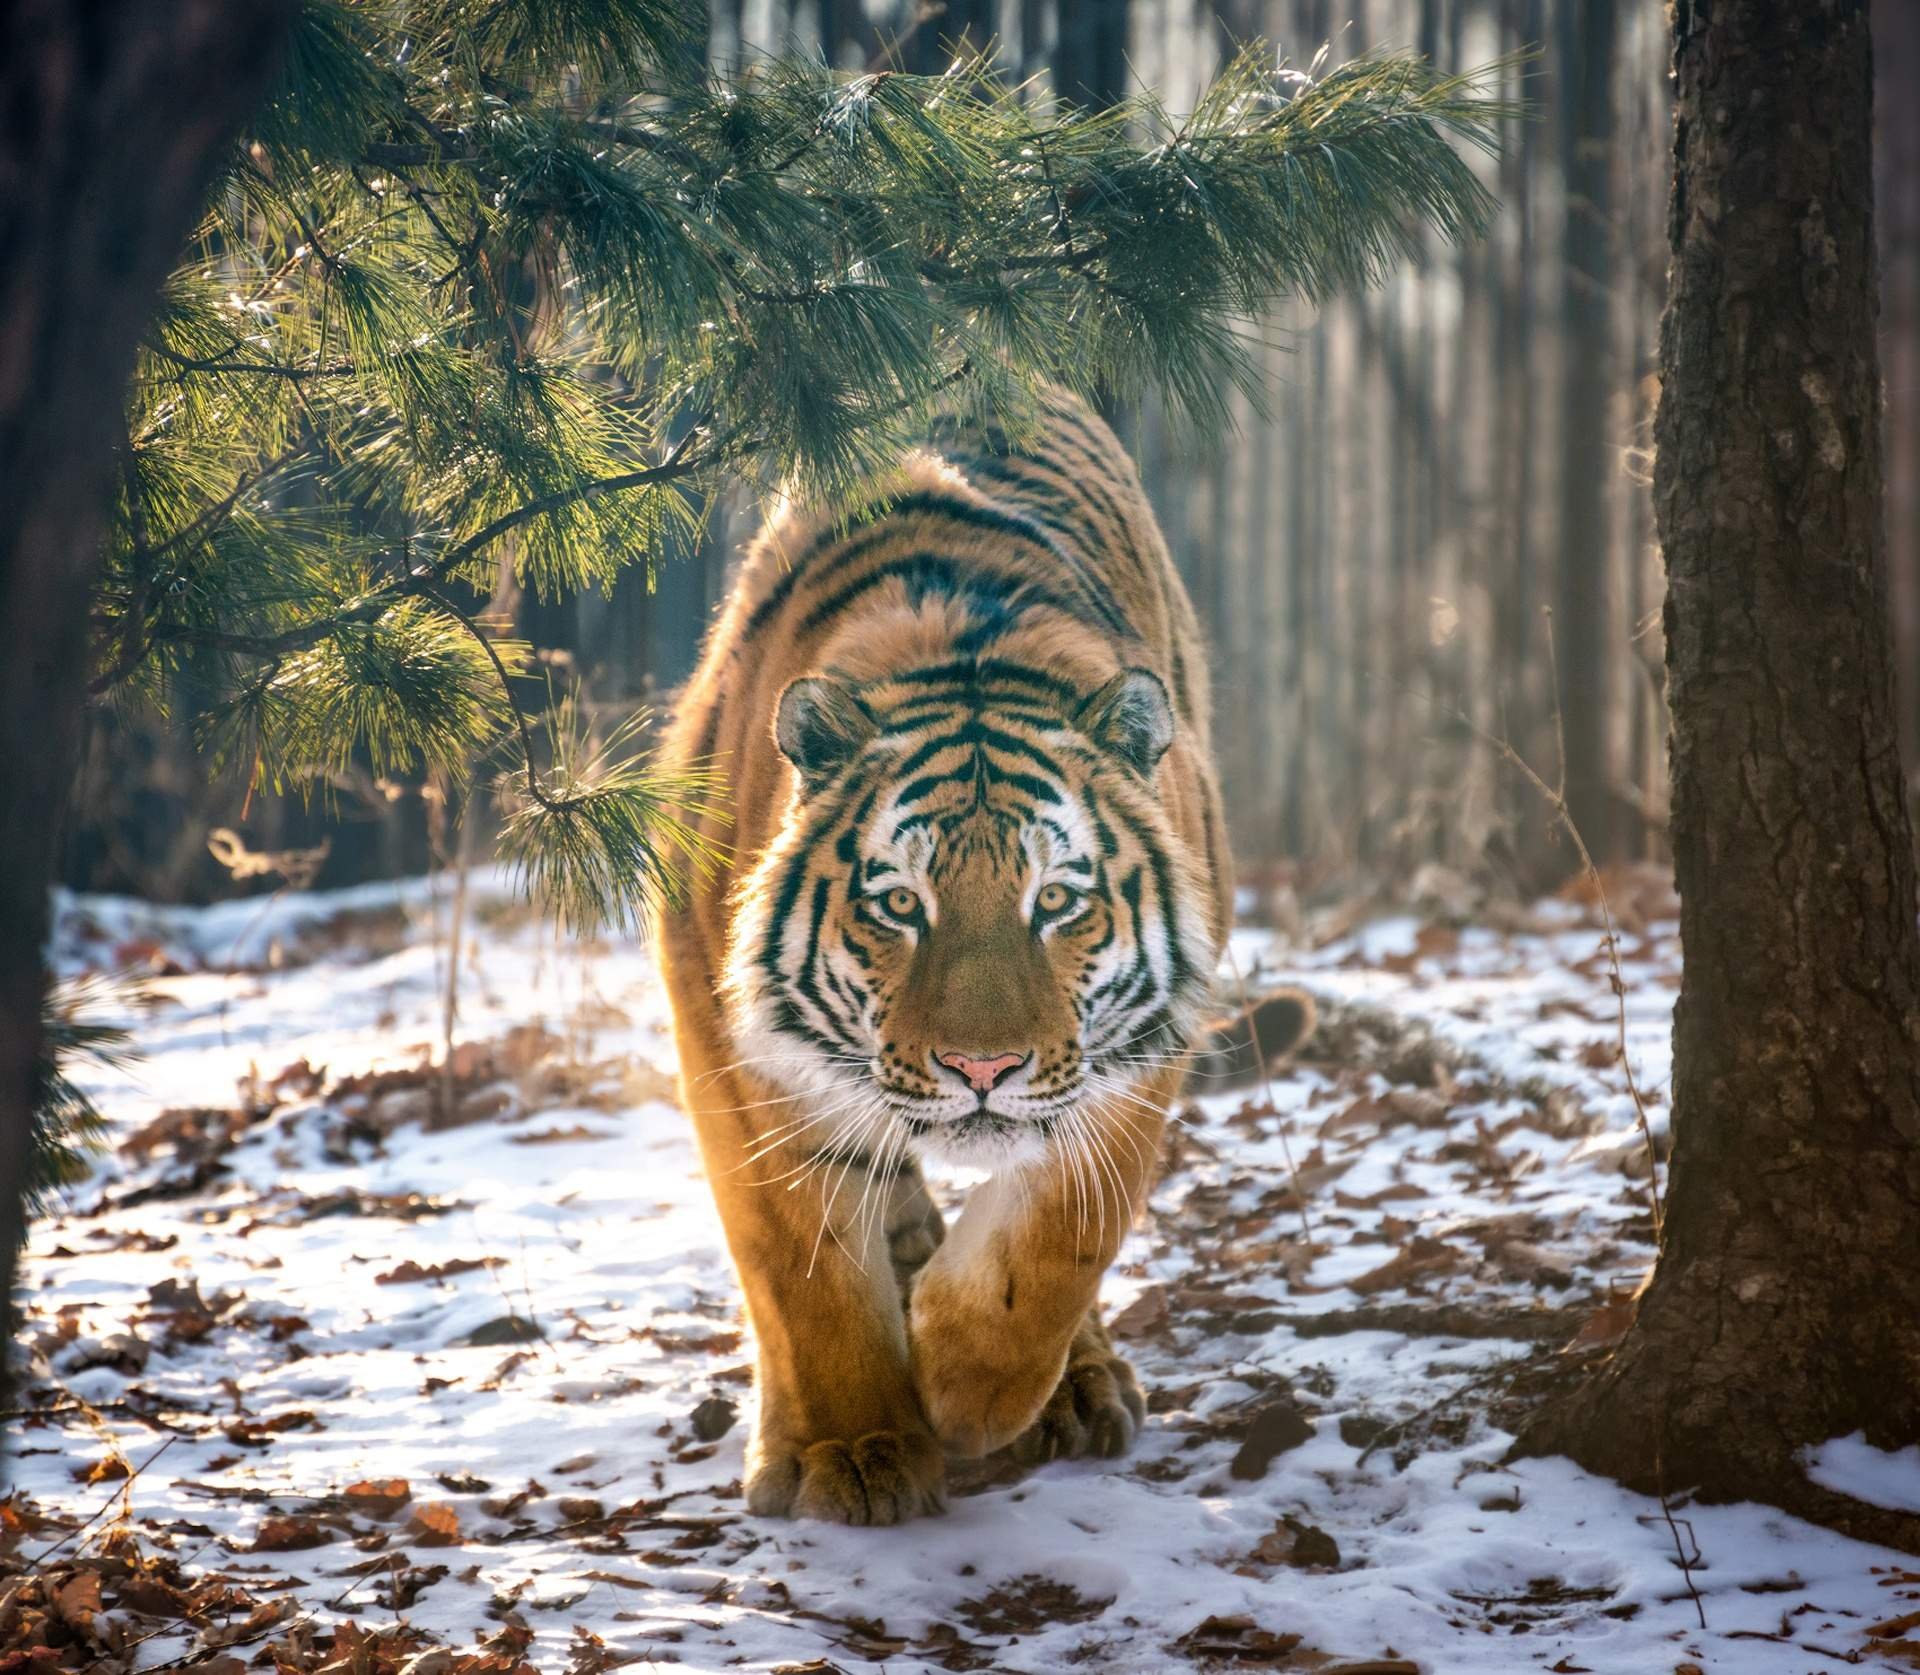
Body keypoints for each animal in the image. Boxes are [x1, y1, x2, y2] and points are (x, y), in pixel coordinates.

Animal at [656, 386, 1274, 1521]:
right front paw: (856, 1451)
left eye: (1057, 900)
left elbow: (1063, 1233)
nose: (980, 1069)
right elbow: (797, 1259)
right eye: (900, 903)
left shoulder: (1141, 1047)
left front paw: (965, 1386)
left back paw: (1078, 1388)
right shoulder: (723, 1027)